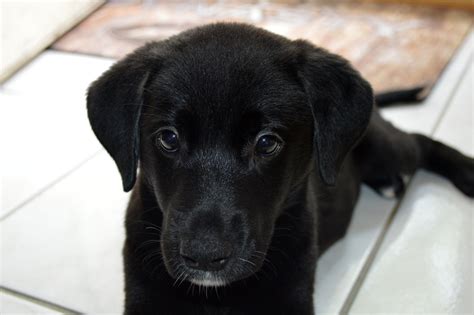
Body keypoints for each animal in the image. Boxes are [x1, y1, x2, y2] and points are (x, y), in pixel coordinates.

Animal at [86, 23, 474, 314]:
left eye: (266, 142)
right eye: (168, 138)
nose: (205, 256)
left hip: (384, 146)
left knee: (418, 142)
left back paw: (463, 171)